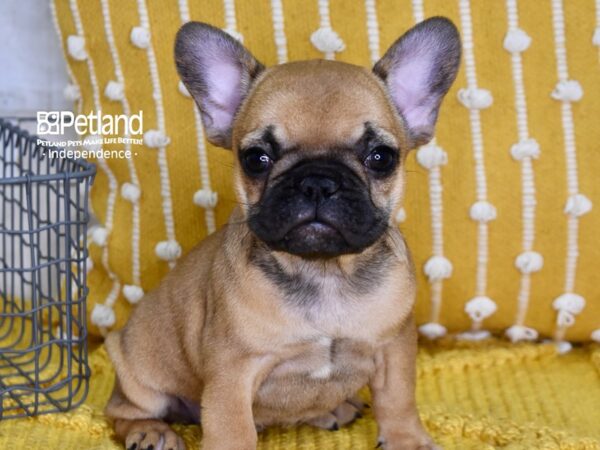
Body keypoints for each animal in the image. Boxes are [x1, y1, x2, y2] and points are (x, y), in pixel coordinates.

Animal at [104, 16, 460, 450]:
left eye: (381, 157)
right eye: (256, 158)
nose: (317, 182)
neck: (324, 272)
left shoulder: (395, 347)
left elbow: (398, 398)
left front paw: (407, 439)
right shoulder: (232, 374)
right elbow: (233, 430)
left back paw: (332, 409)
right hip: (136, 368)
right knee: (123, 410)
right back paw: (151, 431)